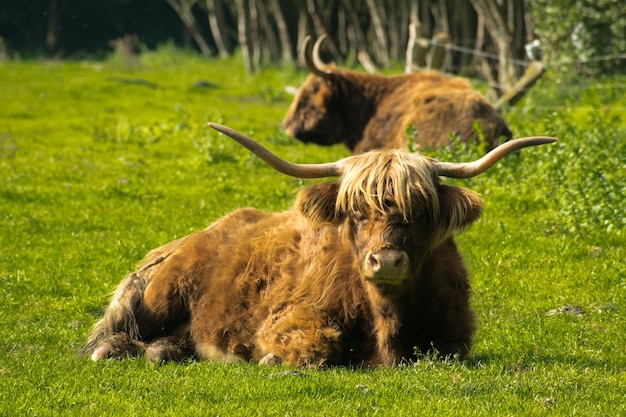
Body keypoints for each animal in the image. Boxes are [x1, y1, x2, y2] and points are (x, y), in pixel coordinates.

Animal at [81, 123, 552, 368]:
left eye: (420, 209)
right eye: (355, 211)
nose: (387, 261)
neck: (388, 327)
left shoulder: (454, 338)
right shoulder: (287, 317)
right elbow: (314, 345)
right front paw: (271, 359)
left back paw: (164, 351)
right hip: (160, 297)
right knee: (116, 334)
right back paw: (113, 349)